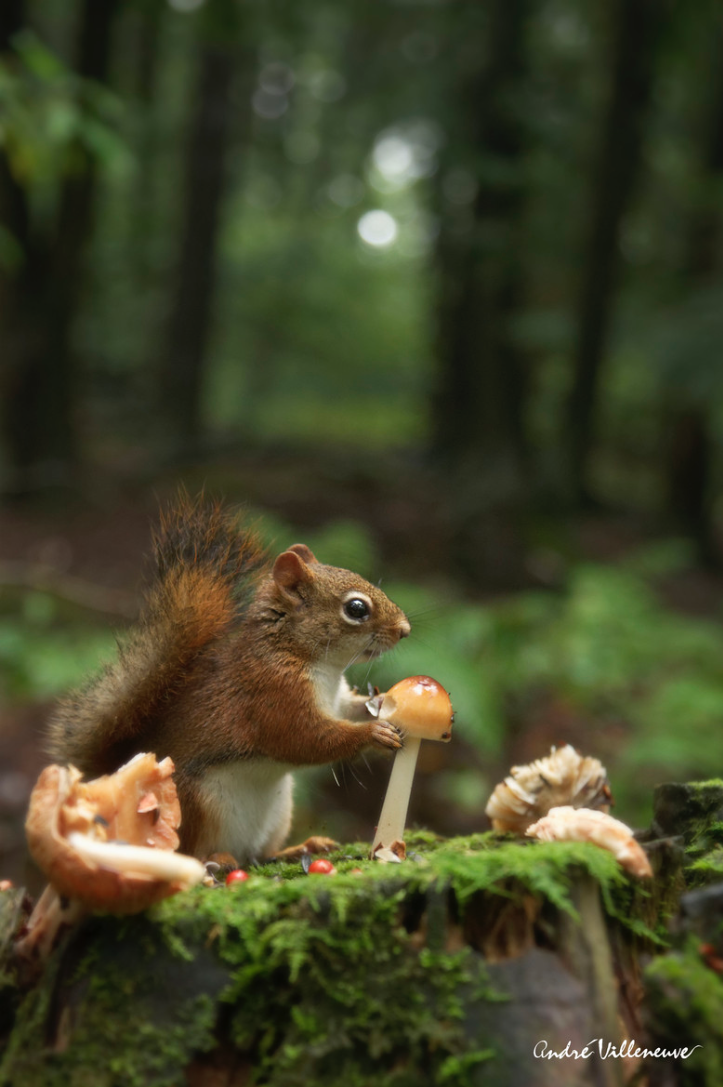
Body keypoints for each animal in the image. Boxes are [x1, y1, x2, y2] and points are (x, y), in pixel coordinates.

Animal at [47, 497, 408, 860]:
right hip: (195, 803)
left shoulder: (336, 699)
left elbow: (349, 709)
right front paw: (373, 734)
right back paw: (216, 861)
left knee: (263, 854)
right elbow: (305, 739)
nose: (405, 630)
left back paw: (301, 847)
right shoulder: (272, 694)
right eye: (356, 609)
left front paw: (381, 702)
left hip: (280, 812)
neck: (311, 660)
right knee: (190, 851)